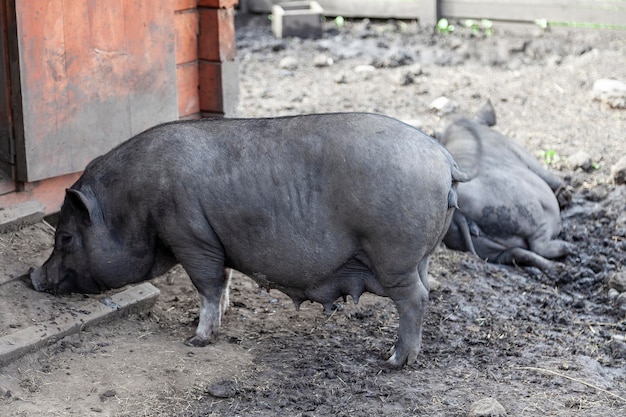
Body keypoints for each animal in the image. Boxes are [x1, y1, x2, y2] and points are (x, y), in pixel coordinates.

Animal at [29, 112, 468, 366]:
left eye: (65, 237)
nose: (33, 277)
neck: (133, 207)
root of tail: (445, 161)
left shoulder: (190, 237)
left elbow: (208, 283)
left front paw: (196, 340)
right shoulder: (211, 243)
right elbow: (222, 282)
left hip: (395, 256)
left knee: (415, 300)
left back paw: (394, 361)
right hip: (421, 256)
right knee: (426, 290)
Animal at [436, 101, 572, 270]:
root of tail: (458, 213)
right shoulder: (520, 151)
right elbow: (549, 176)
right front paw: (567, 193)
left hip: (482, 245)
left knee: (514, 253)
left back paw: (557, 266)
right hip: (523, 208)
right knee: (538, 244)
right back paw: (568, 248)